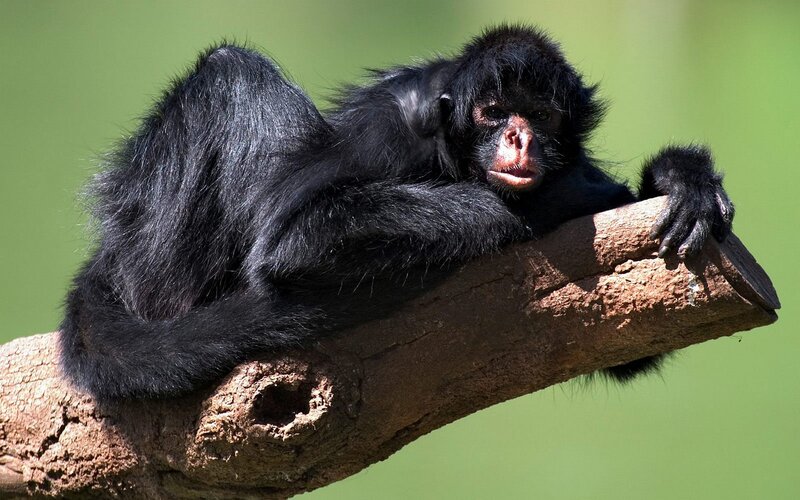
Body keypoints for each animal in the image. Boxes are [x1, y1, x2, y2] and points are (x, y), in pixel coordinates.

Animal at [58, 25, 734, 401]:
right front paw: (559, 197)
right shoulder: (392, 127)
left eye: (540, 116)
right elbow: (295, 239)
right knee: (231, 69)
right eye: (493, 112)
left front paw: (681, 177)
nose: (519, 138)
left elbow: (628, 349)